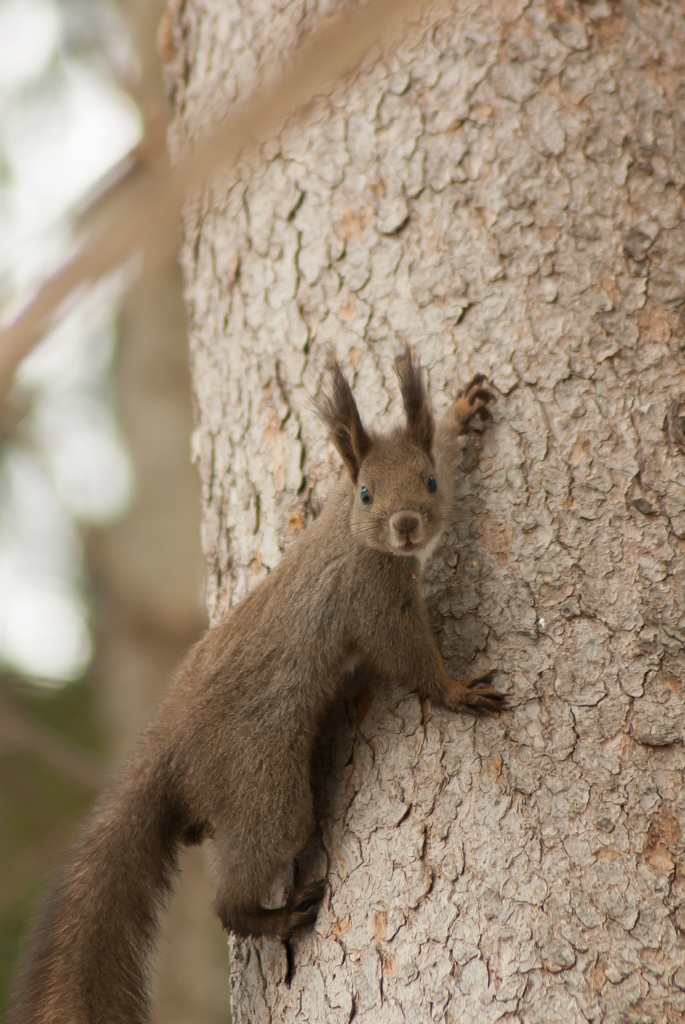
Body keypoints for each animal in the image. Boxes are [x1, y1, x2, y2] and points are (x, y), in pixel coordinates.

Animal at [9, 348, 501, 1024]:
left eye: (428, 481)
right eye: (368, 493)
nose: (405, 526)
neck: (351, 532)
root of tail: (166, 751)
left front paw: (459, 410)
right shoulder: (372, 599)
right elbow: (406, 658)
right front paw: (457, 690)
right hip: (262, 789)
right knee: (237, 888)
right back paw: (277, 916)